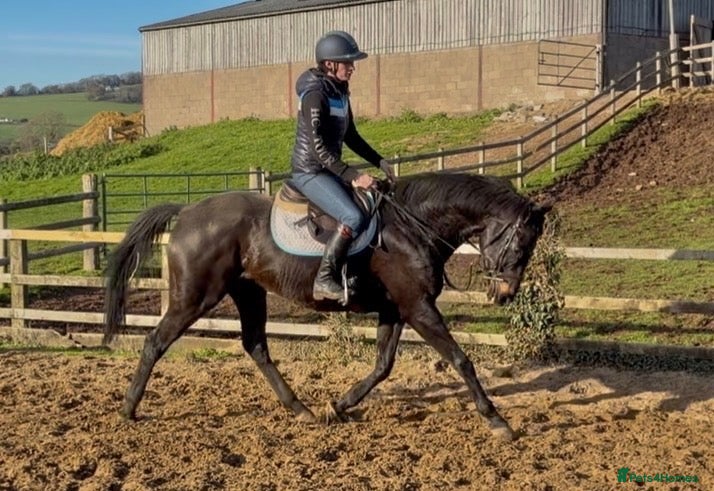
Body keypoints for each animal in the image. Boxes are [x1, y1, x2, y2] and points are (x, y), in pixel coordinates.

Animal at [103, 172, 551, 441]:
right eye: (522, 244)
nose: (505, 294)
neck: (412, 227)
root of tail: (188, 212)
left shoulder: (396, 310)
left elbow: (382, 366)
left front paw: (339, 405)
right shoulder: (417, 307)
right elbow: (461, 360)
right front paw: (497, 420)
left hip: (249, 293)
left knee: (257, 347)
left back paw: (301, 409)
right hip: (195, 297)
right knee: (155, 342)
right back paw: (128, 408)